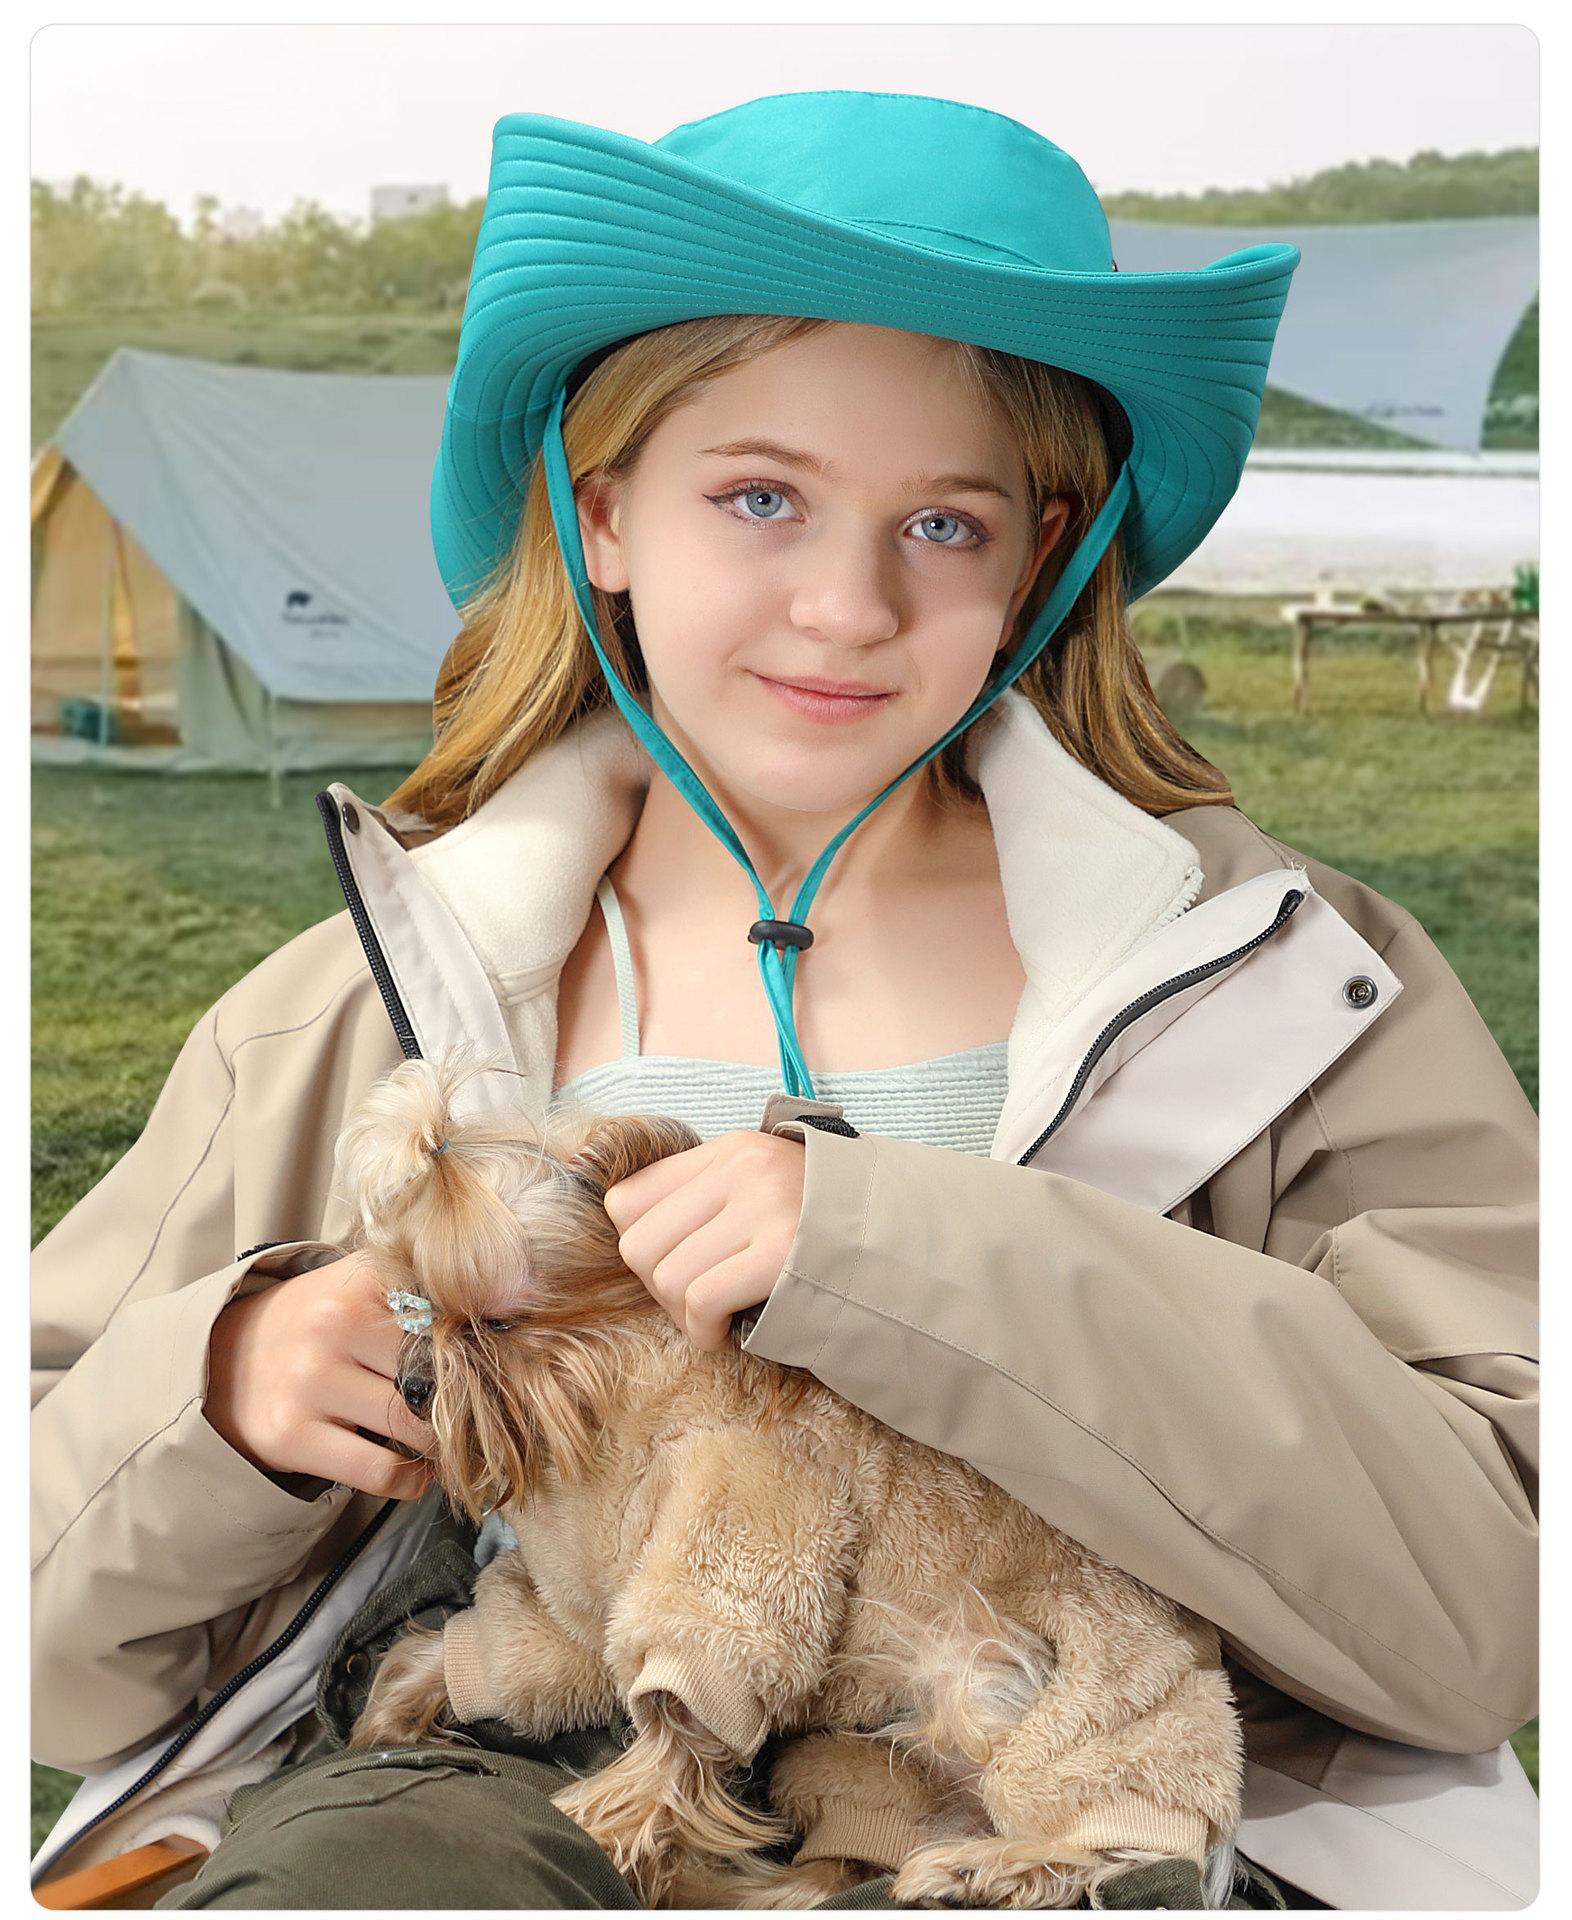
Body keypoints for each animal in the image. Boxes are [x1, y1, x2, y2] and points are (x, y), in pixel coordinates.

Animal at [335, 1048, 1245, 1910]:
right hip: (857, 1758)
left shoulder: (741, 1530)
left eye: (496, 1323)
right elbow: (502, 1653)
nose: (412, 1387)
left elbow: (682, 1717)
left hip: (1027, 1686)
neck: (607, 1400)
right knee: (842, 1854)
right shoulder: (581, 1613)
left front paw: (601, 1830)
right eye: (411, 1309)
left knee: (1116, 1841)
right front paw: (387, 1718)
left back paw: (982, 1871)